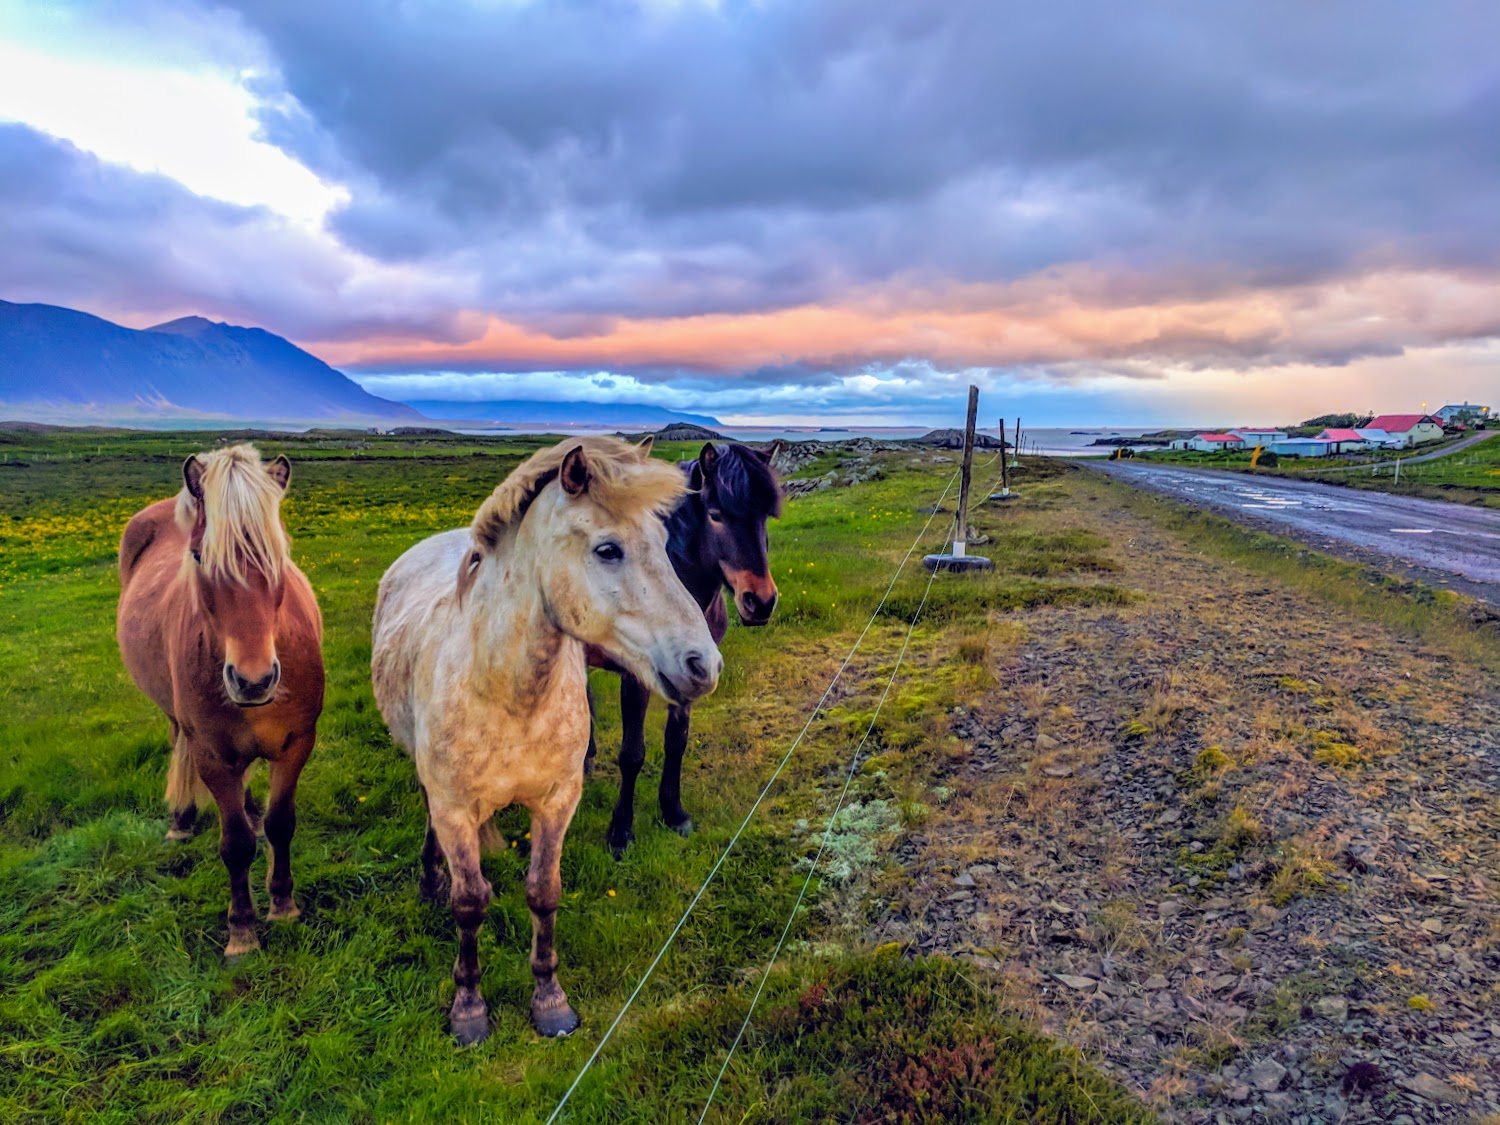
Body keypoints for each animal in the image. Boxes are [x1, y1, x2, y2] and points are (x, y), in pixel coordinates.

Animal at [117, 444, 325, 954]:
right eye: (198, 555)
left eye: (280, 554)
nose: (253, 681)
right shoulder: (213, 756)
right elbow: (235, 845)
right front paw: (242, 930)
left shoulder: (296, 744)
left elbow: (280, 824)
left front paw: (283, 905)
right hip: (178, 720)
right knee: (179, 744)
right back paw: (182, 818)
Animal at [375, 435, 726, 1044]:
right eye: (608, 550)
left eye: (664, 543)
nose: (704, 665)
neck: (505, 691)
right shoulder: (455, 808)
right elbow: (470, 903)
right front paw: (469, 1009)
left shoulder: (558, 801)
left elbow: (544, 893)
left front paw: (550, 1001)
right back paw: (429, 879)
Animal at [582, 441, 780, 852]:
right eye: (716, 515)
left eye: (766, 516)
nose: (761, 602)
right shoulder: (637, 677)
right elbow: (632, 753)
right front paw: (621, 832)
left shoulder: (693, 672)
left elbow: (677, 741)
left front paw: (673, 812)